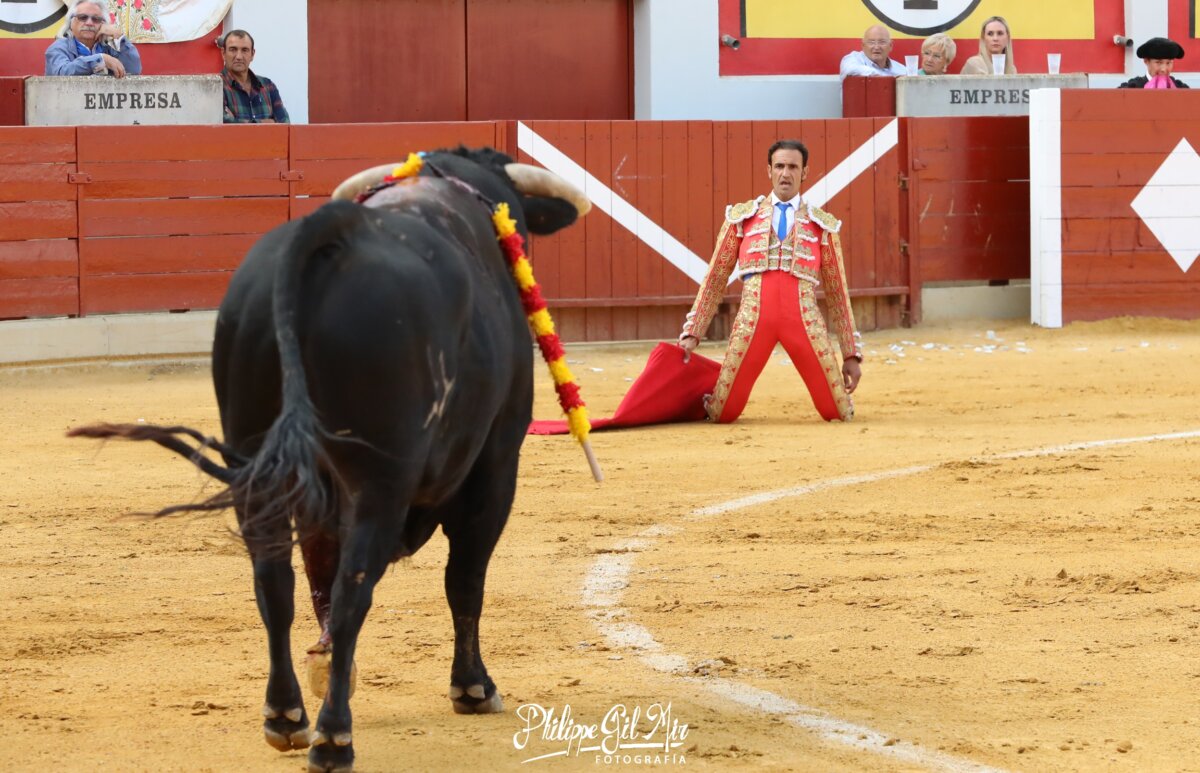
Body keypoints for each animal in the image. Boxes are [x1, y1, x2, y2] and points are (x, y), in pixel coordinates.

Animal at [69, 146, 590, 773]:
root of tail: (327, 234)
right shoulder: (495, 462)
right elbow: (465, 578)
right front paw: (473, 687)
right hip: (380, 479)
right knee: (353, 591)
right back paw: (334, 736)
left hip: (258, 464)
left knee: (275, 583)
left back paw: (287, 715)